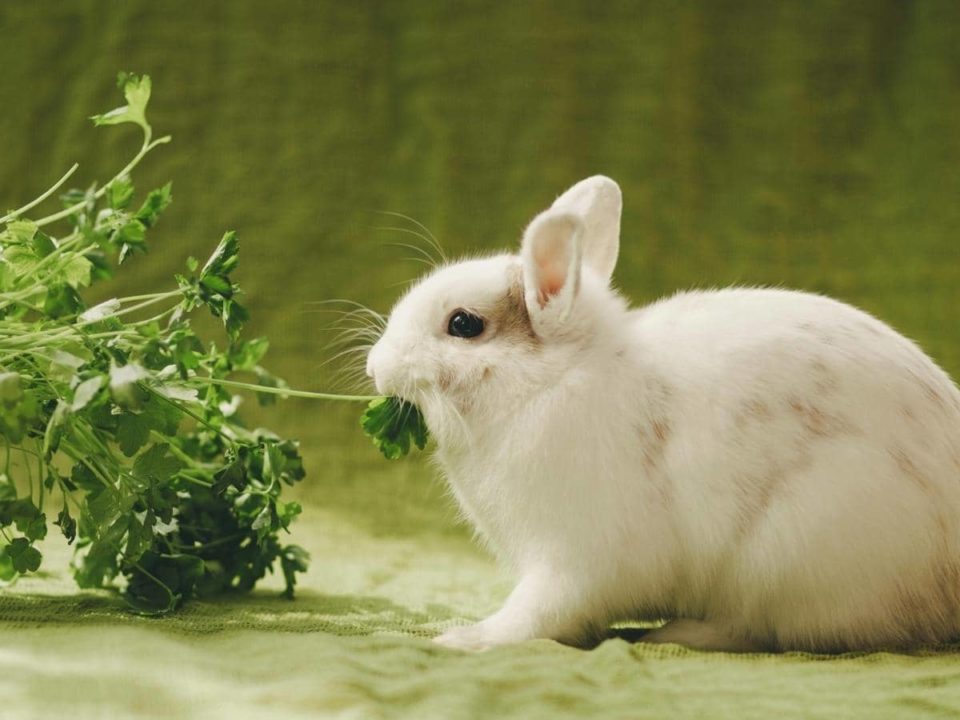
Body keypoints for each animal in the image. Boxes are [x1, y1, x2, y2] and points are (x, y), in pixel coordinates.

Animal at [365, 175, 960, 653]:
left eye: (463, 324)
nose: (376, 366)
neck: (549, 382)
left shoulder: (571, 560)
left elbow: (537, 614)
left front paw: (464, 639)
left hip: (787, 556)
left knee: (758, 629)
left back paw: (674, 633)